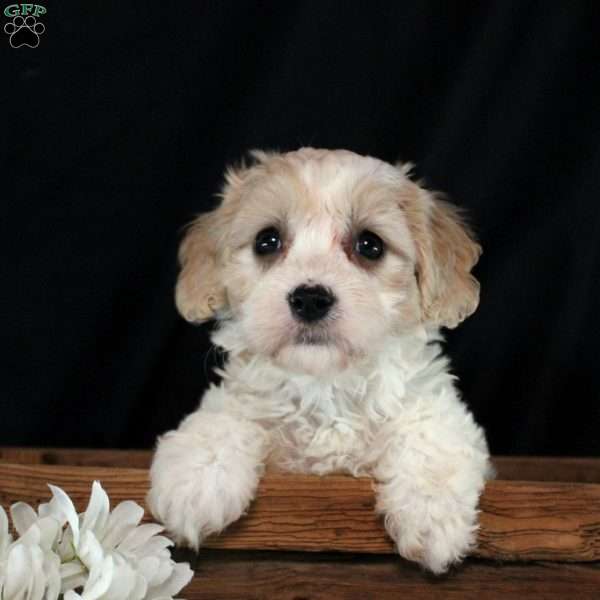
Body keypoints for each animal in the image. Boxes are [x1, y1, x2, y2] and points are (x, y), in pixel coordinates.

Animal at [146, 148, 492, 576]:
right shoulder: (241, 400)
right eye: (267, 241)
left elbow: (431, 441)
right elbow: (222, 420)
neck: (325, 385)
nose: (310, 298)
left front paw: (432, 517)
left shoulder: (435, 410)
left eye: (370, 245)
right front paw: (194, 482)